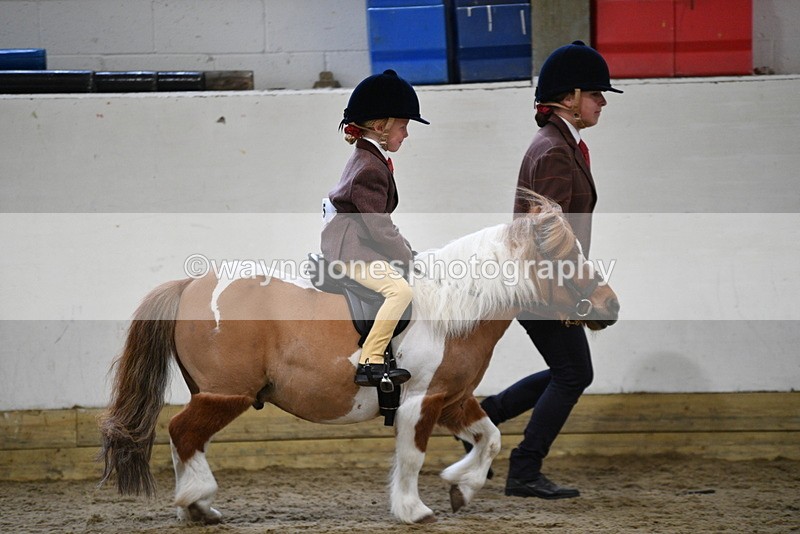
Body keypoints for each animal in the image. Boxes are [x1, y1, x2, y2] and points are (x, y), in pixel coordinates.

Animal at [98, 193, 619, 525]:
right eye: (567, 258)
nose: (611, 306)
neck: (453, 307)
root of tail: (191, 284)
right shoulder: (419, 402)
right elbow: (411, 456)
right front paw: (413, 510)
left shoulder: (452, 399)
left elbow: (490, 438)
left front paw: (461, 486)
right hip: (226, 394)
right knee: (182, 432)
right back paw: (197, 499)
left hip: (212, 394)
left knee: (188, 438)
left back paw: (196, 508)